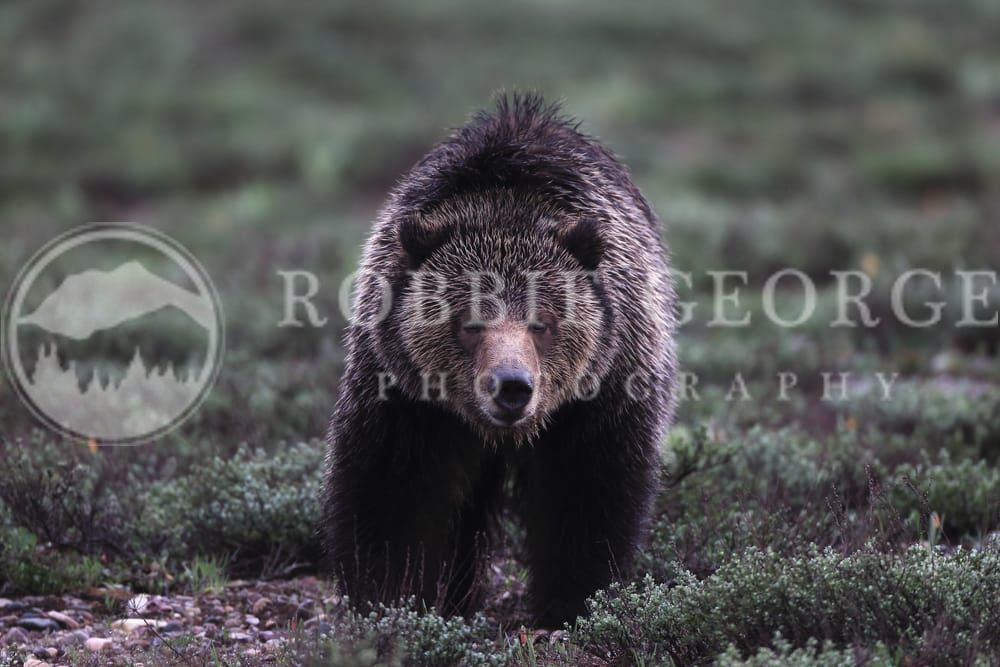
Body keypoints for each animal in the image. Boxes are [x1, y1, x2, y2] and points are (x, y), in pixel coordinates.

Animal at [322, 93, 677, 626]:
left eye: (542, 322)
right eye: (469, 322)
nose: (511, 386)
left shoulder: (601, 395)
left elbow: (588, 496)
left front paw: (571, 604)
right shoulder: (406, 399)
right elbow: (393, 495)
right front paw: (387, 598)